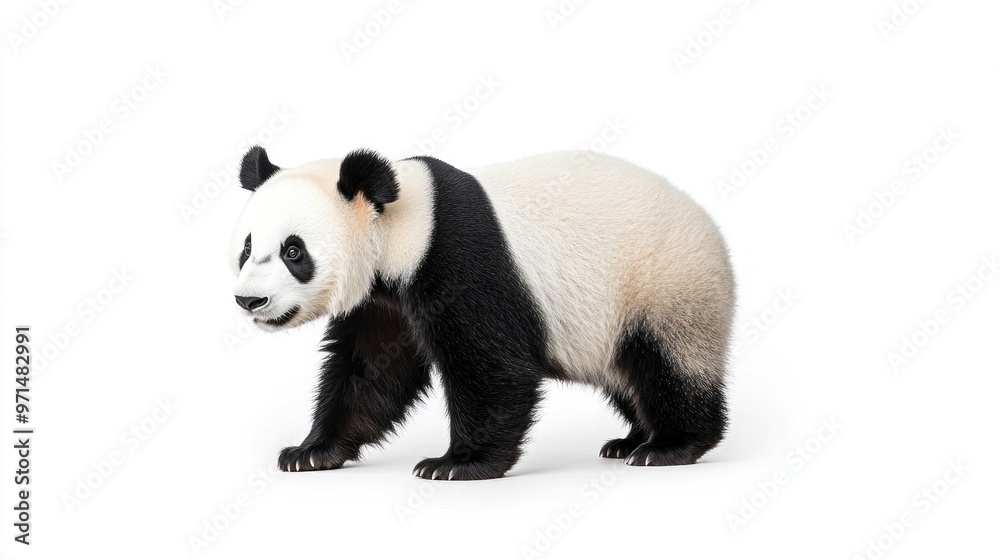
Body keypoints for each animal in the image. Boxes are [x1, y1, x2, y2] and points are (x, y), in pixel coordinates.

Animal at [230, 145, 735, 480]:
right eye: (248, 248)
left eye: (293, 251)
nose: (250, 301)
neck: (404, 223)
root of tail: (712, 230)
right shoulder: (382, 301)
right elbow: (371, 371)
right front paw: (311, 452)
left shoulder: (457, 258)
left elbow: (492, 367)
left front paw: (456, 463)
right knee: (626, 375)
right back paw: (629, 441)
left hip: (662, 287)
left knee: (666, 365)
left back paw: (669, 445)